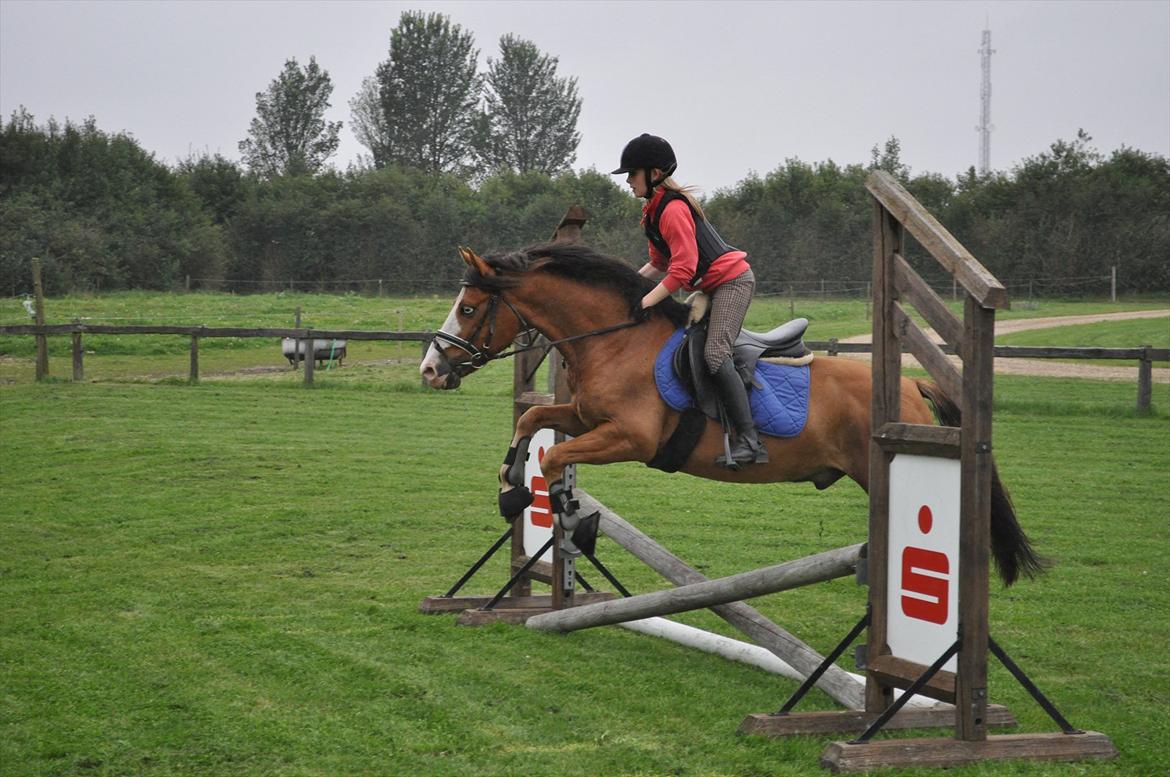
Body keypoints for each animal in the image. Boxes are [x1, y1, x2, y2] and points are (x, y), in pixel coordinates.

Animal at [421, 241, 1043, 582]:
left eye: (469, 308)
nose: (430, 369)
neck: (616, 340)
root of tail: (912, 383)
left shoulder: (630, 438)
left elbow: (556, 463)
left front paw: (574, 521)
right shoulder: (586, 417)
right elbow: (532, 423)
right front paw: (510, 489)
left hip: (880, 468)